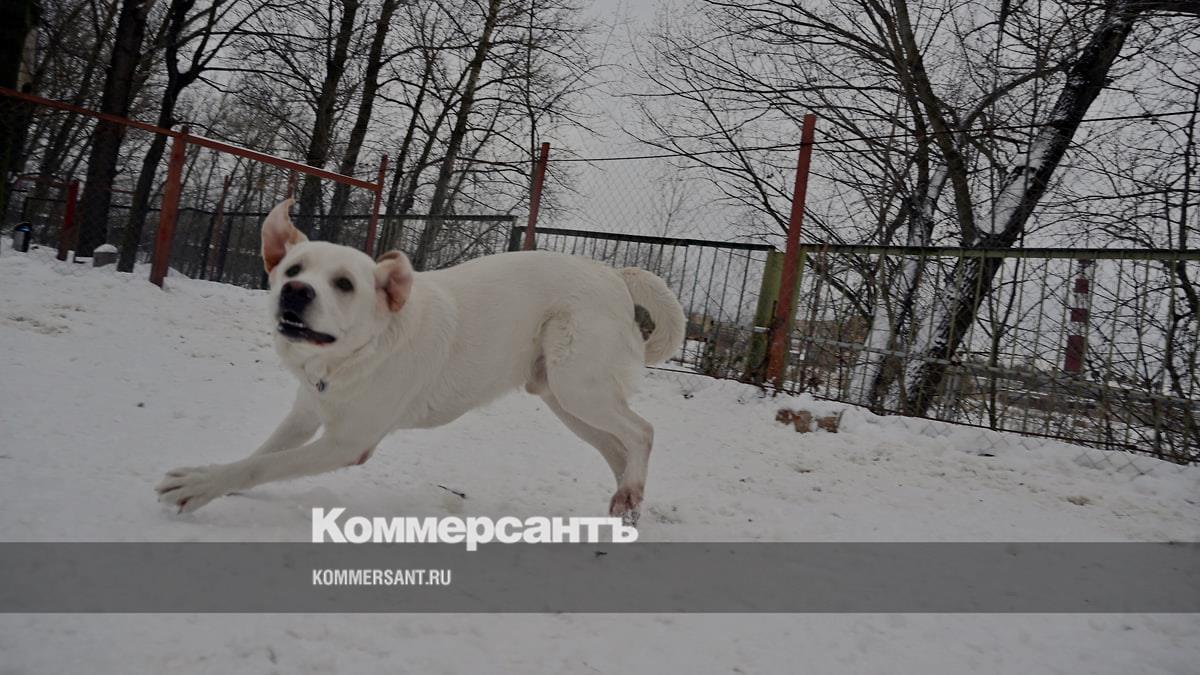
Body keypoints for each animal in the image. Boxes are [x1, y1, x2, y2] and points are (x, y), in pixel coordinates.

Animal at [156, 199, 686, 522]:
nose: (296, 291)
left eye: (344, 284)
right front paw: (222, 480)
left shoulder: (348, 442)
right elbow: (262, 456)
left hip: (579, 386)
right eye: (292, 269)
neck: (356, 355)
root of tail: (613, 274)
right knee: (619, 447)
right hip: (565, 398)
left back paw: (630, 492)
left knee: (643, 432)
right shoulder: (305, 414)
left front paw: (201, 484)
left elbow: (266, 465)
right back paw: (627, 503)